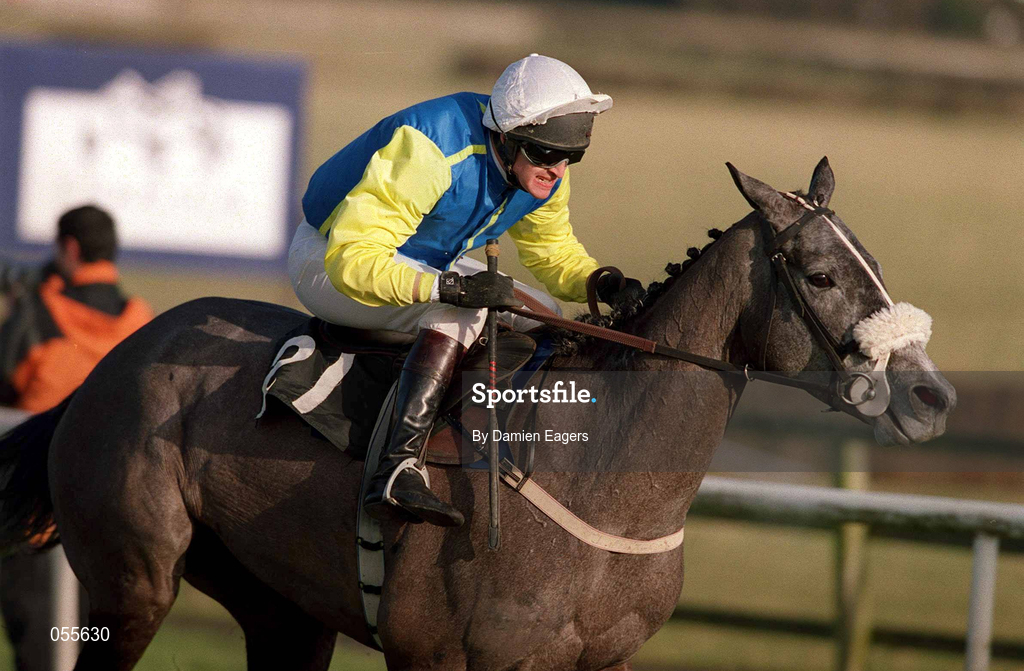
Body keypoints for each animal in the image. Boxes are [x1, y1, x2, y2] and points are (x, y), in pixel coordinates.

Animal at [0, 159, 955, 671]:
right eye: (820, 275)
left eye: (874, 264)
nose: (930, 396)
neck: (597, 475)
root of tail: (106, 370)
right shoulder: (443, 653)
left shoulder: (605, 657)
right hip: (133, 579)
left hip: (280, 608)